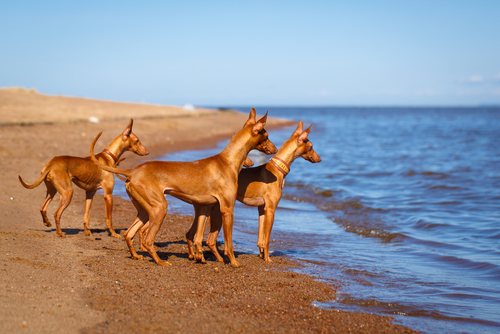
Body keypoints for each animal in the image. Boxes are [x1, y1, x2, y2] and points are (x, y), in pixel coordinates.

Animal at [19, 119, 148, 237]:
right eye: (137, 140)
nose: (147, 152)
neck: (108, 157)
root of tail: (51, 164)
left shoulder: (90, 193)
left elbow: (86, 216)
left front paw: (87, 232)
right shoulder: (108, 195)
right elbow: (109, 219)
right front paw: (113, 234)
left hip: (52, 191)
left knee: (43, 208)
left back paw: (47, 223)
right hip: (67, 193)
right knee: (57, 213)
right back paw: (60, 233)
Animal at [206, 121, 320, 262]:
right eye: (312, 146)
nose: (320, 159)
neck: (277, 169)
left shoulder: (261, 209)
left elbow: (260, 238)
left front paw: (261, 256)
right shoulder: (270, 209)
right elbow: (267, 239)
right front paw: (268, 259)